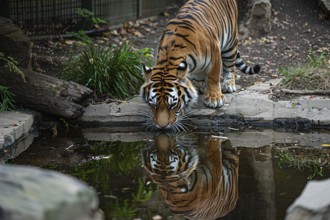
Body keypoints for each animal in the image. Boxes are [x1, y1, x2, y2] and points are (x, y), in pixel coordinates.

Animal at [139, 0, 260, 129]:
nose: (162, 126)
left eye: (173, 105)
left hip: (230, 42)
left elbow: (213, 78)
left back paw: (228, 85)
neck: (169, 59)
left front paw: (214, 99)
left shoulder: (215, 53)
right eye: (153, 105)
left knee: (230, 67)